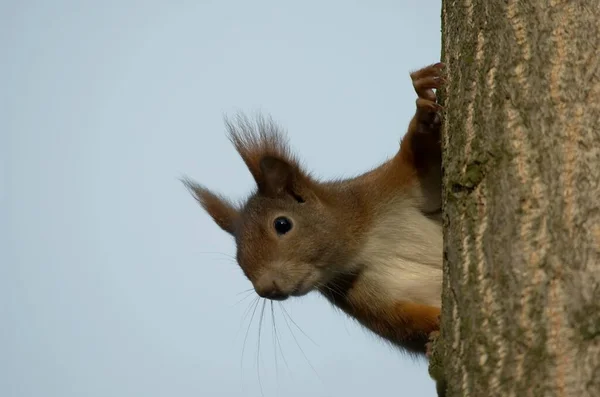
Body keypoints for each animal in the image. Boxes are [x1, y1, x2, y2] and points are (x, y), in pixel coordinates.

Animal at [184, 62, 446, 356]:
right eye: (237, 257)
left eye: (282, 224)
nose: (266, 289)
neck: (365, 242)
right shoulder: (359, 295)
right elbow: (402, 321)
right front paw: (434, 326)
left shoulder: (388, 186)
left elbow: (422, 159)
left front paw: (423, 102)